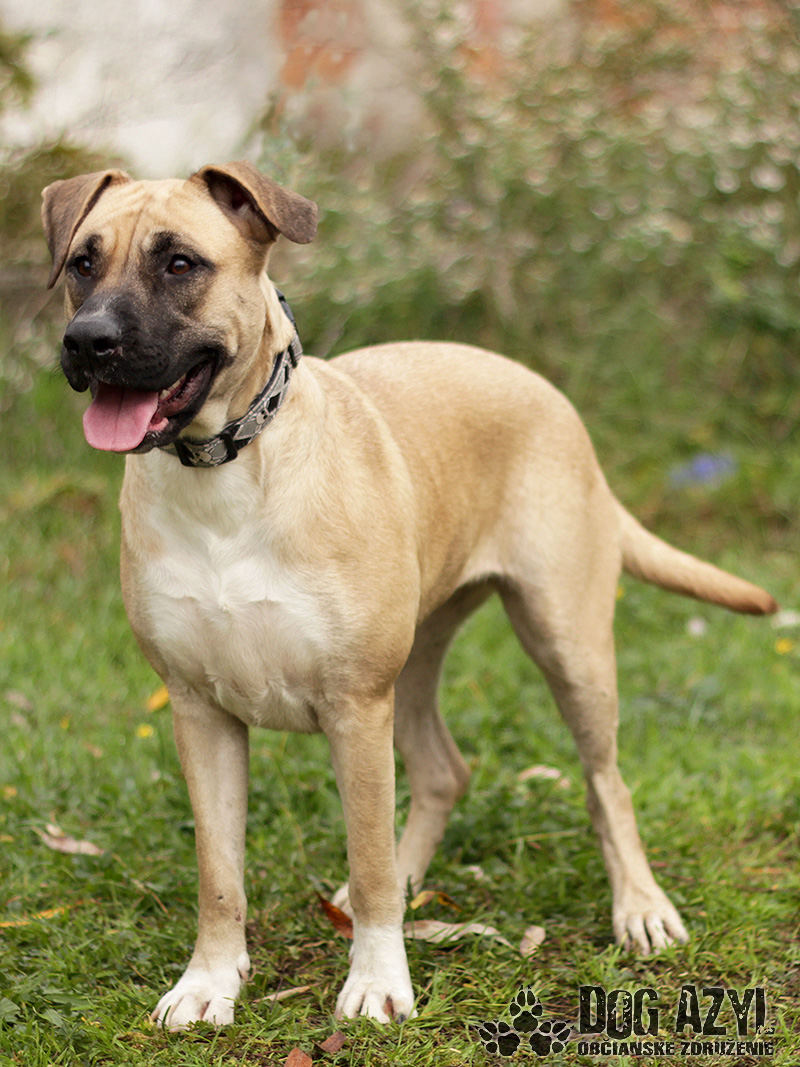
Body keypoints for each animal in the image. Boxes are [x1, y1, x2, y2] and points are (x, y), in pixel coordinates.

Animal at [41, 161, 777, 1030]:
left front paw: (376, 979)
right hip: (419, 661)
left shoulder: (356, 707)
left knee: (607, 783)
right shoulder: (200, 710)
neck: (229, 470)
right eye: (82, 262)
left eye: (180, 263)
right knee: (441, 771)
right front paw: (210, 981)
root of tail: (541, 386)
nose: (87, 341)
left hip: (568, 645)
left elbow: (367, 857)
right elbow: (219, 874)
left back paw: (639, 906)